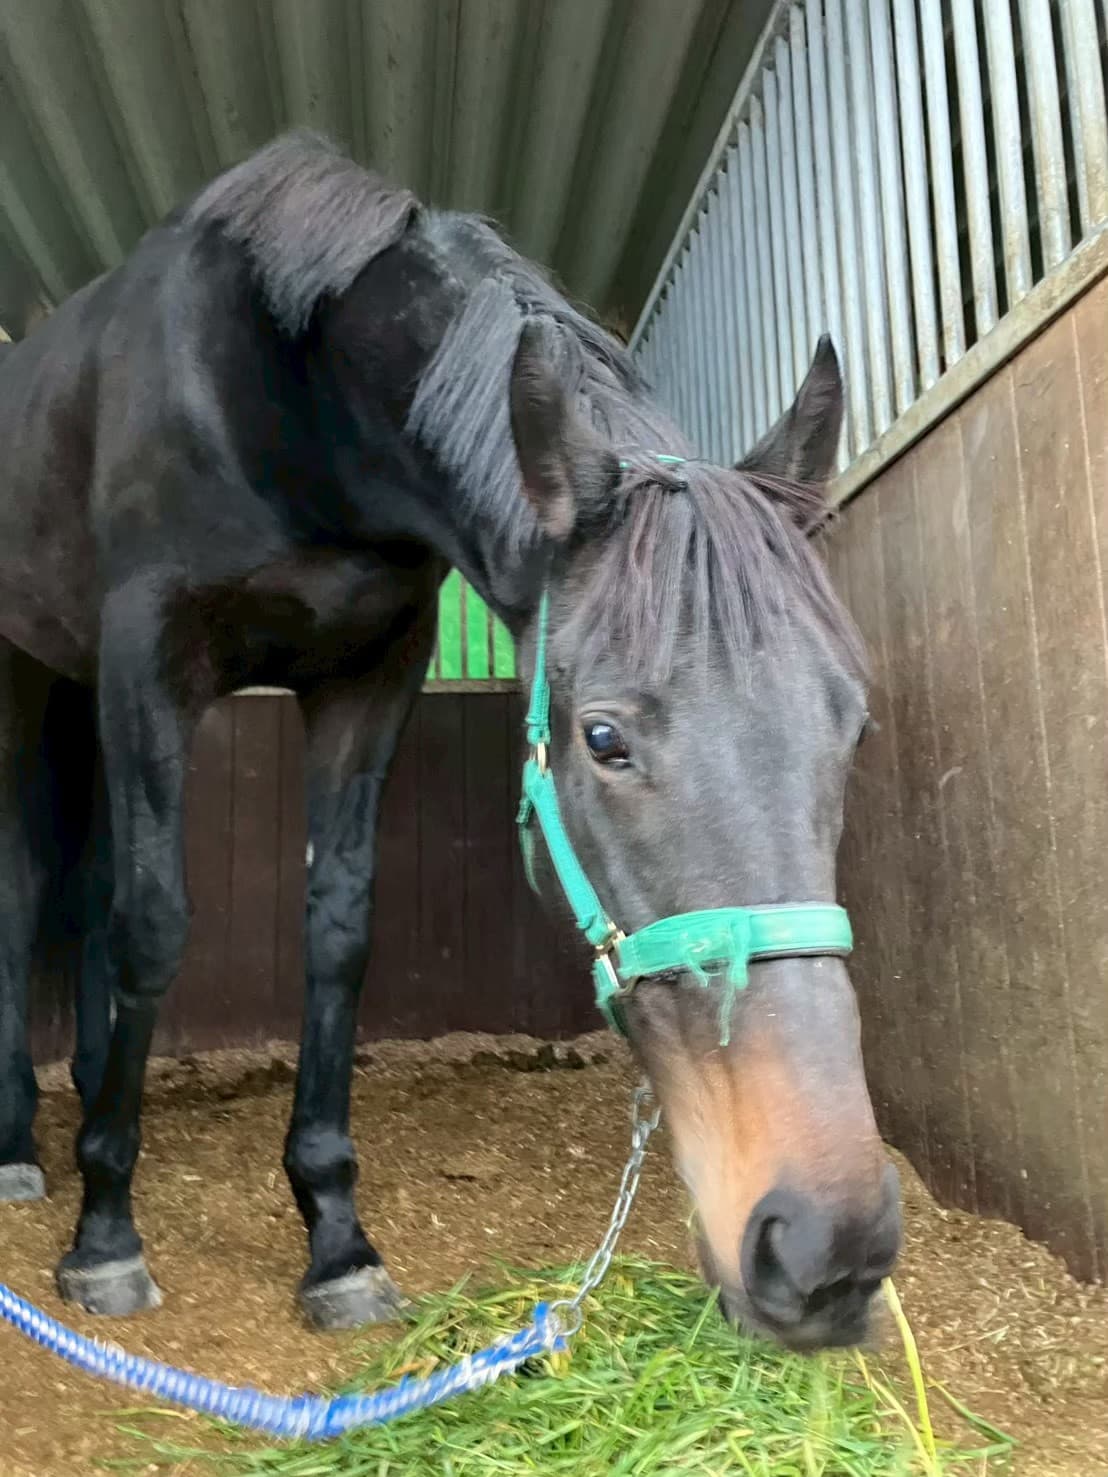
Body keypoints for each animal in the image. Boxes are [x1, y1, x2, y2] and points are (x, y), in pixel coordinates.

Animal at [0, 131, 899, 1351]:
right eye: (603, 737)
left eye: (849, 723)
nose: (827, 1246)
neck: (287, 404)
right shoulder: (149, 658)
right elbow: (154, 925)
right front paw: (104, 1233)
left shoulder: (369, 677)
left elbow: (337, 932)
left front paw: (337, 1241)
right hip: (24, 673)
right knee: (28, 889)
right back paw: (19, 1146)